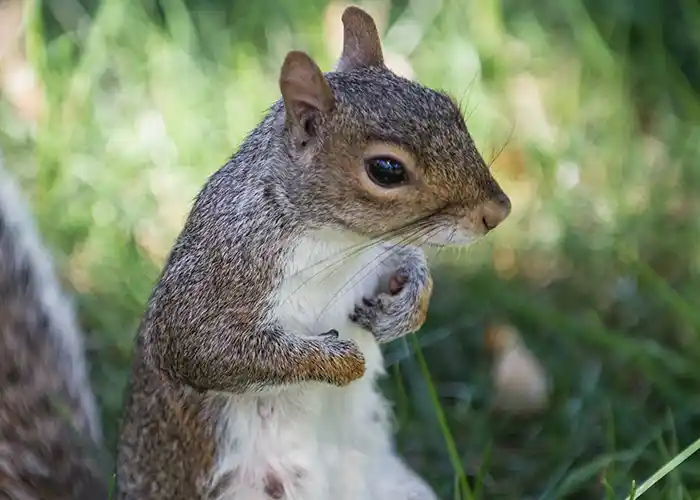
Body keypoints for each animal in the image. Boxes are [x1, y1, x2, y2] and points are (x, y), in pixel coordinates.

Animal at [115, 5, 511, 500]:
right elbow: (200, 347)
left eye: (448, 106)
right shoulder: (225, 266)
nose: (498, 211)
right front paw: (341, 362)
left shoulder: (378, 251)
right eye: (386, 169)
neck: (341, 243)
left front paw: (403, 309)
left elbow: (410, 264)